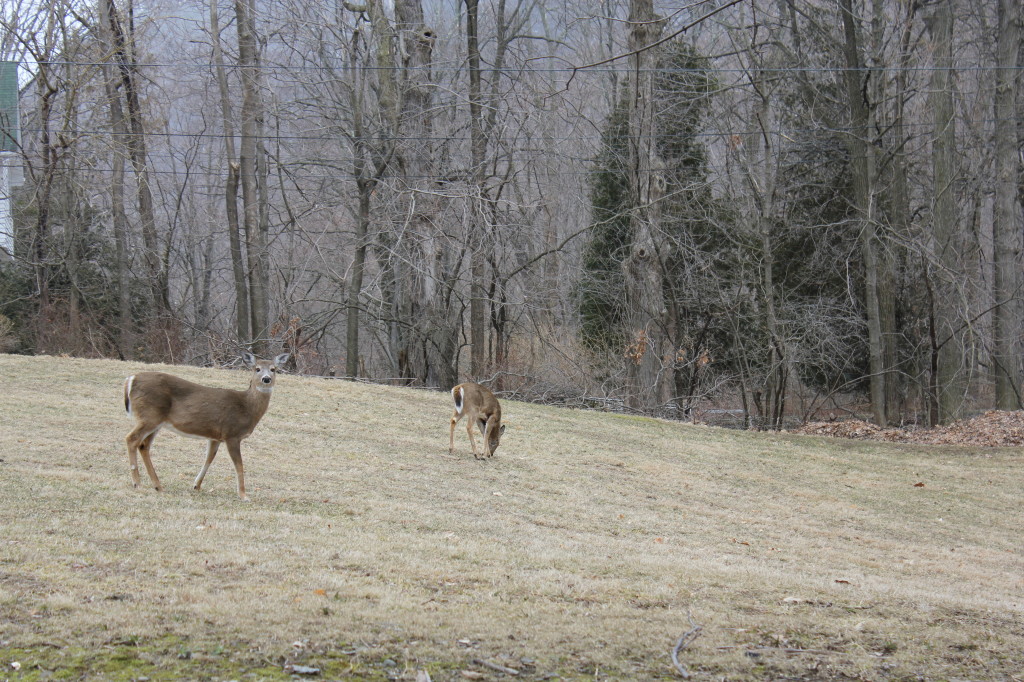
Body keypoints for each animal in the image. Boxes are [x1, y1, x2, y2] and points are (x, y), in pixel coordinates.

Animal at [122, 352, 290, 501]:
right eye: (257, 368)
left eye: (274, 369)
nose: (266, 379)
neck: (246, 407)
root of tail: (131, 379)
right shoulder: (232, 434)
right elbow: (239, 465)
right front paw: (244, 495)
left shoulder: (215, 436)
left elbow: (208, 459)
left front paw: (196, 485)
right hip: (149, 416)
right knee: (131, 438)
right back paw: (137, 483)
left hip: (156, 422)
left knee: (143, 446)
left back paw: (158, 486)